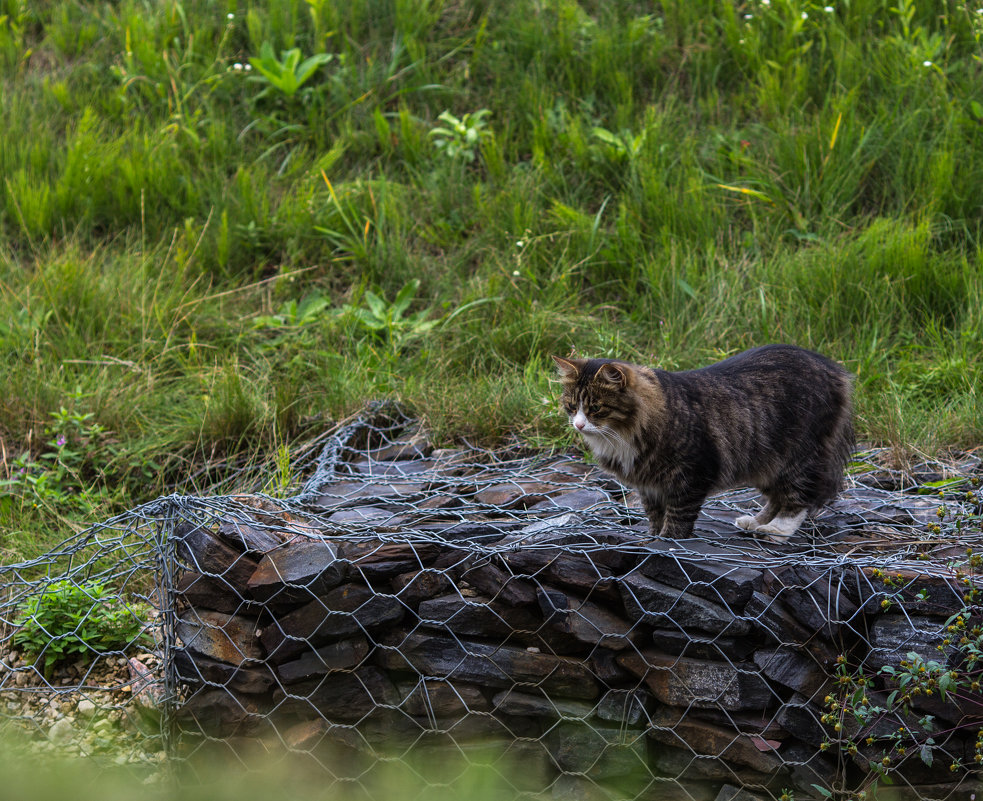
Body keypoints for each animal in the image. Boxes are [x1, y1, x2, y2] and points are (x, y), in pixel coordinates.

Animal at [552, 346, 852, 544]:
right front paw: (653, 536)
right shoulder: (649, 483)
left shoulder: (691, 473)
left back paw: (776, 530)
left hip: (797, 457)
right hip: (766, 462)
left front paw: (668, 540)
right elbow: (655, 514)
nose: (578, 425)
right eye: (571, 407)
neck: (622, 435)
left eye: (595, 408)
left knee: (797, 499)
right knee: (777, 498)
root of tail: (833, 369)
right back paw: (755, 522)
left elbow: (678, 514)